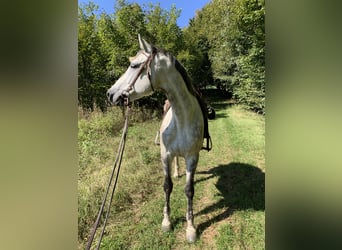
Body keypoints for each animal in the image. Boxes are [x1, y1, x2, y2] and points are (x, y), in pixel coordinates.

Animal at [107, 35, 210, 242]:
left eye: (133, 65)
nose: (110, 94)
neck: (182, 117)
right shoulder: (165, 155)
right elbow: (167, 186)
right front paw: (167, 222)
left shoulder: (192, 158)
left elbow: (189, 190)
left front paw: (190, 228)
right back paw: (177, 172)